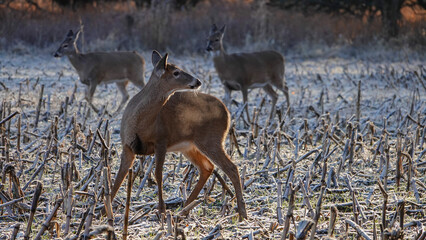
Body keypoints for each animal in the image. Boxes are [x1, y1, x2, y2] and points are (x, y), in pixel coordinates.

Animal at [110, 50, 248, 221]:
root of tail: (227, 112)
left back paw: (242, 213)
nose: (197, 81)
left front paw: (162, 210)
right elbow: (119, 177)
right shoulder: (127, 146)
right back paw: (185, 209)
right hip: (190, 146)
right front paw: (105, 211)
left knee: (231, 168)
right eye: (176, 72)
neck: (140, 122)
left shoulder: (161, 140)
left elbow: (158, 174)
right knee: (207, 167)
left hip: (211, 139)